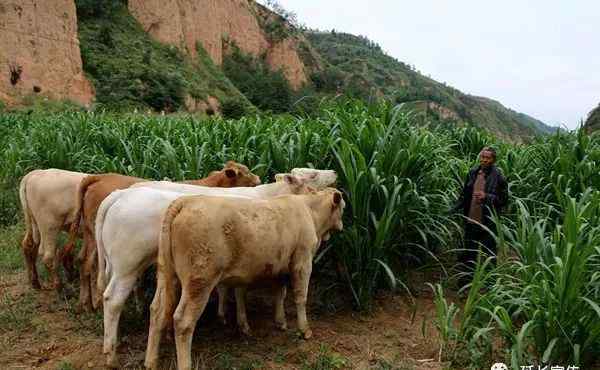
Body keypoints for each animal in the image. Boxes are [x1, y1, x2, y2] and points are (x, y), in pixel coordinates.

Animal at [64, 160, 262, 310]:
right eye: (245, 173)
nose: (259, 179)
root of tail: (99, 176)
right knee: (89, 265)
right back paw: (93, 304)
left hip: (91, 235)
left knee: (83, 261)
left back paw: (86, 302)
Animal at [142, 189, 344, 370]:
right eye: (343, 206)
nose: (342, 225)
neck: (309, 210)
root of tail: (185, 201)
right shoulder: (303, 260)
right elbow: (301, 296)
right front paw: (305, 330)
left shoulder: (280, 267)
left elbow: (279, 293)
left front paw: (280, 322)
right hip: (199, 280)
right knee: (183, 321)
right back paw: (185, 365)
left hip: (166, 274)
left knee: (157, 310)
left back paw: (150, 361)